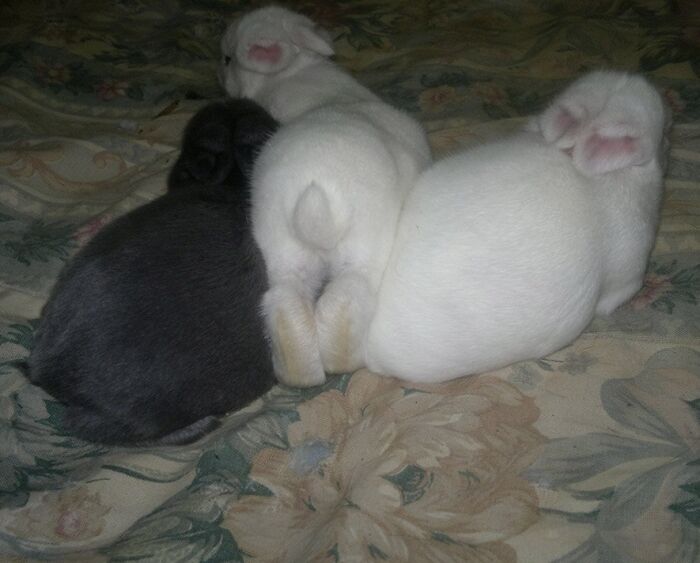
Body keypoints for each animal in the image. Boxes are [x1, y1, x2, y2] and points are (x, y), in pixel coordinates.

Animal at [219, 6, 432, 387]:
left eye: (227, 58)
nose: (220, 79)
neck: (295, 70)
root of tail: (317, 205)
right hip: (364, 244)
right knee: (346, 298)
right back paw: (341, 361)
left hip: (281, 242)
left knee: (285, 299)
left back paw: (297, 370)